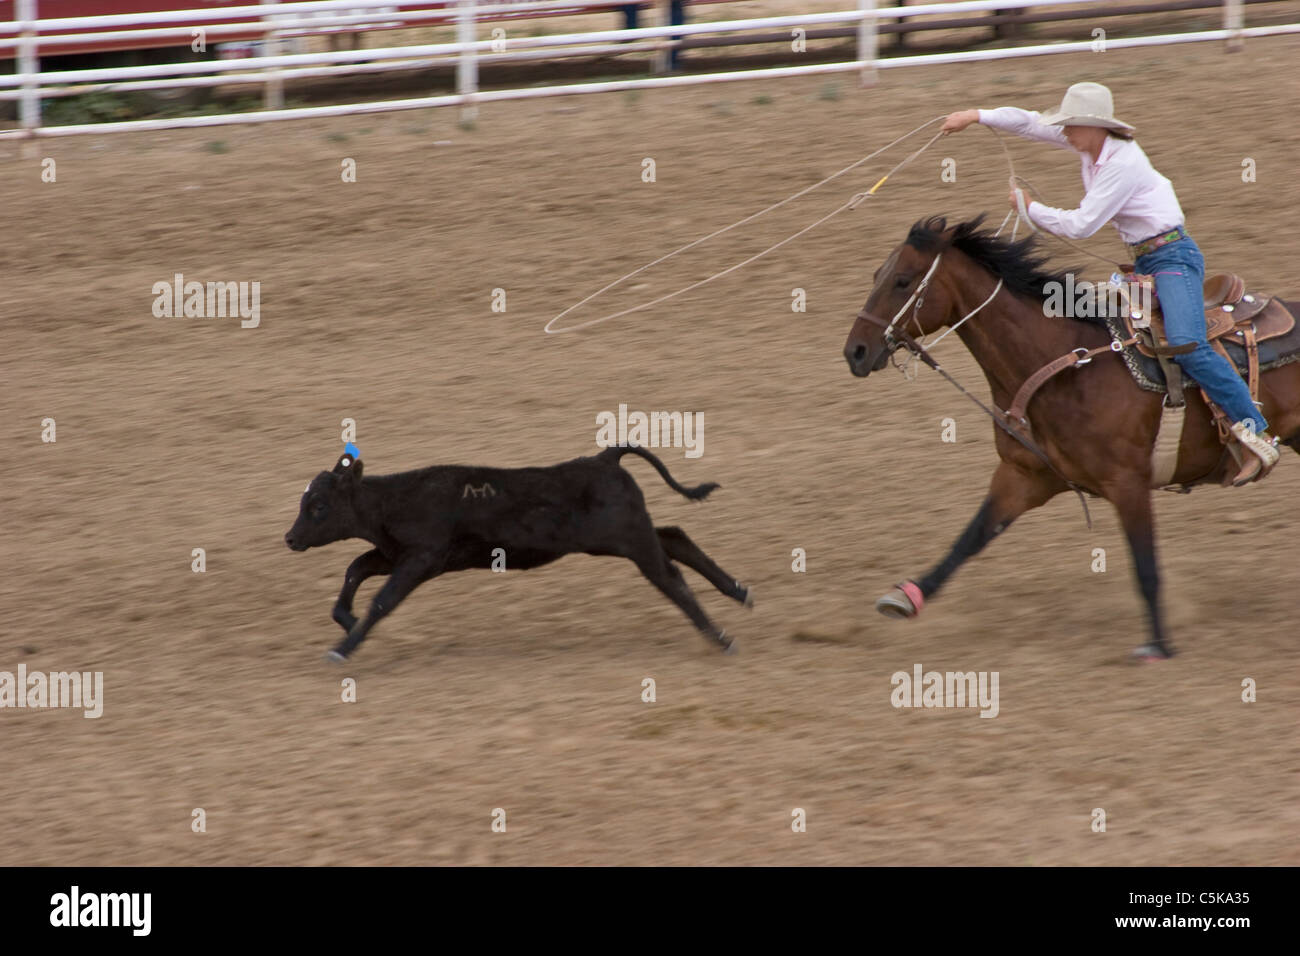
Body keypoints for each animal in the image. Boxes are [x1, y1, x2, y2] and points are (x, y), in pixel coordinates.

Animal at [284, 442, 754, 658]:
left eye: (318, 505)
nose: (290, 538)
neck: (393, 501)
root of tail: (605, 457)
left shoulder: (421, 558)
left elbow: (382, 600)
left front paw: (343, 648)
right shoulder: (396, 555)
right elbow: (356, 568)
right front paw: (345, 620)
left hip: (628, 538)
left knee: (669, 575)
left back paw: (720, 637)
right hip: (623, 536)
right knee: (675, 537)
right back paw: (739, 591)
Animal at [842, 217, 1300, 660]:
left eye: (902, 280)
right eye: (876, 275)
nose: (855, 352)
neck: (1066, 366)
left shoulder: (1128, 482)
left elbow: (1145, 565)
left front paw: (1158, 645)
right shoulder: (1023, 477)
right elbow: (970, 538)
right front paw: (907, 597)